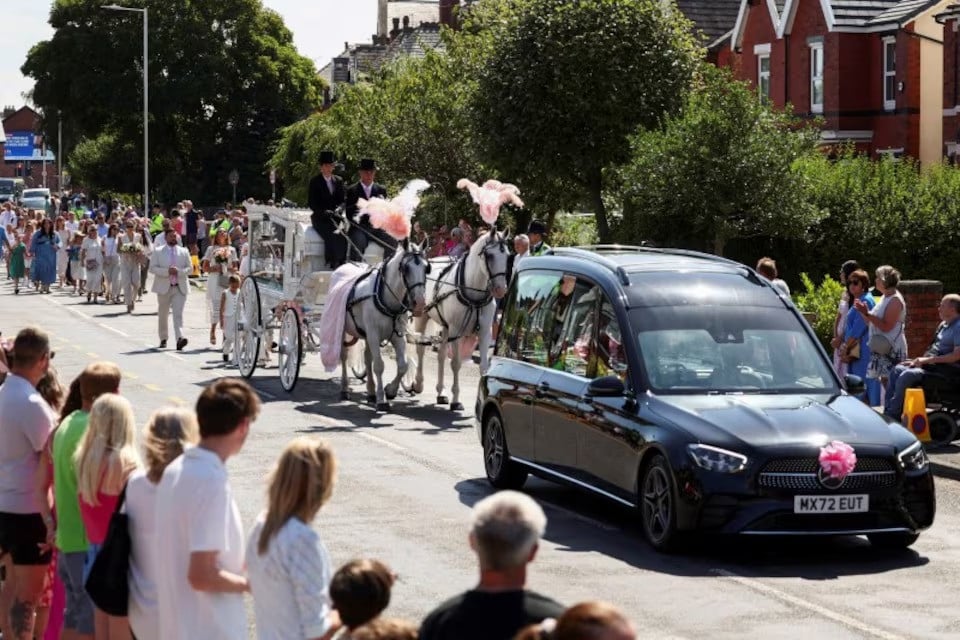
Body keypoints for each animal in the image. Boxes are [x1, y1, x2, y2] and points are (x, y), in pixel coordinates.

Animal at [340, 240, 426, 410]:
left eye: (427, 268)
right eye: (406, 268)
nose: (419, 303)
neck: (384, 296)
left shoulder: (398, 335)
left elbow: (403, 365)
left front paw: (390, 391)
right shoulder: (374, 334)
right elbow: (379, 365)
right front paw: (382, 399)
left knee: (367, 358)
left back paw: (370, 392)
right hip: (342, 329)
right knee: (344, 356)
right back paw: (345, 389)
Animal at [410, 228, 510, 410]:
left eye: (507, 254)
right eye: (490, 255)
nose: (501, 289)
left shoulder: (484, 332)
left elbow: (484, 366)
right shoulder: (456, 330)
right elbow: (456, 363)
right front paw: (456, 400)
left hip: (445, 326)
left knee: (441, 355)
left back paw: (441, 392)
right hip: (422, 317)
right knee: (420, 349)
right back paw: (419, 383)